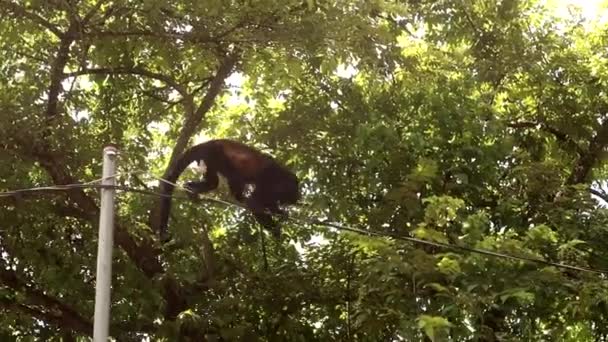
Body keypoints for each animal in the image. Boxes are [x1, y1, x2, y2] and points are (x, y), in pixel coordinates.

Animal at [157, 139, 300, 240]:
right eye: (295, 190)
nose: (298, 197)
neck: (280, 177)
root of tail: (206, 143)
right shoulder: (268, 180)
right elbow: (254, 203)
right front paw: (275, 230)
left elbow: (269, 202)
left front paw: (280, 212)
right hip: (215, 154)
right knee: (234, 176)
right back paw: (239, 197)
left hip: (209, 159)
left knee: (213, 182)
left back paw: (190, 188)